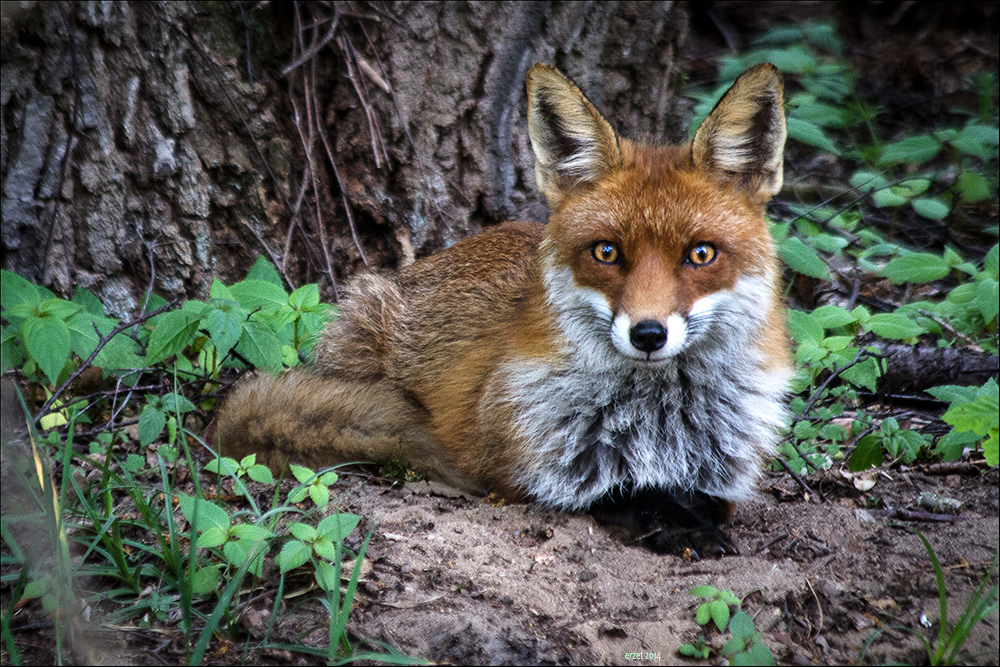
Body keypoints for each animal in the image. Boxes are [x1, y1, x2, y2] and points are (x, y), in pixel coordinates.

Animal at [219, 62, 788, 552]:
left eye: (701, 254)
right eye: (606, 252)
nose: (648, 334)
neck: (660, 419)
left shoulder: (725, 470)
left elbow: (708, 499)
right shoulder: (521, 467)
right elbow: (627, 493)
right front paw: (678, 525)